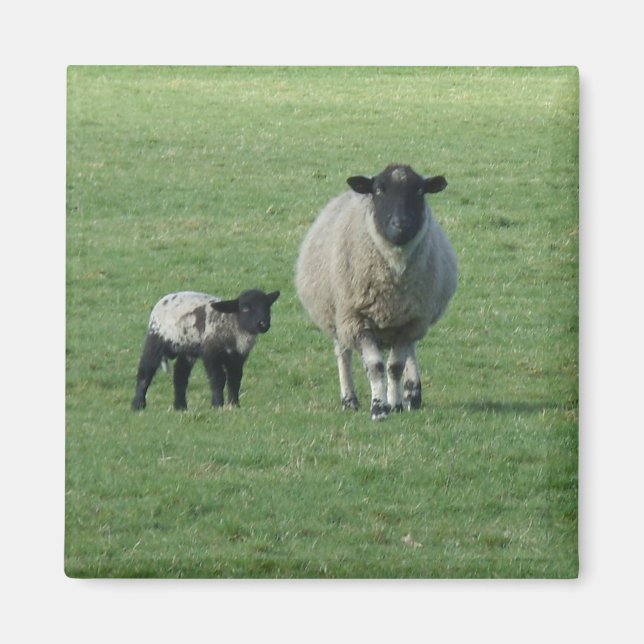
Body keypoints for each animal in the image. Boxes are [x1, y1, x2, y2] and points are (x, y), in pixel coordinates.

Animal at [131, 288, 280, 411]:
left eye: (267, 307)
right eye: (245, 308)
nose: (263, 324)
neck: (233, 324)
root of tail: (163, 300)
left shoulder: (237, 358)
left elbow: (235, 380)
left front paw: (234, 405)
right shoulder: (211, 354)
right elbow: (218, 379)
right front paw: (217, 405)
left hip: (187, 349)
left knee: (180, 375)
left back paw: (180, 407)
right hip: (155, 339)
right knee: (145, 372)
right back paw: (138, 405)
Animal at [295, 163, 456, 420]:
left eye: (420, 191)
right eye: (379, 190)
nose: (400, 226)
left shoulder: (410, 320)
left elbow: (395, 367)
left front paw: (396, 403)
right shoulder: (355, 318)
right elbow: (376, 366)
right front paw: (379, 408)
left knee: (409, 352)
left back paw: (412, 393)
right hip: (337, 316)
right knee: (343, 354)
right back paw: (349, 399)